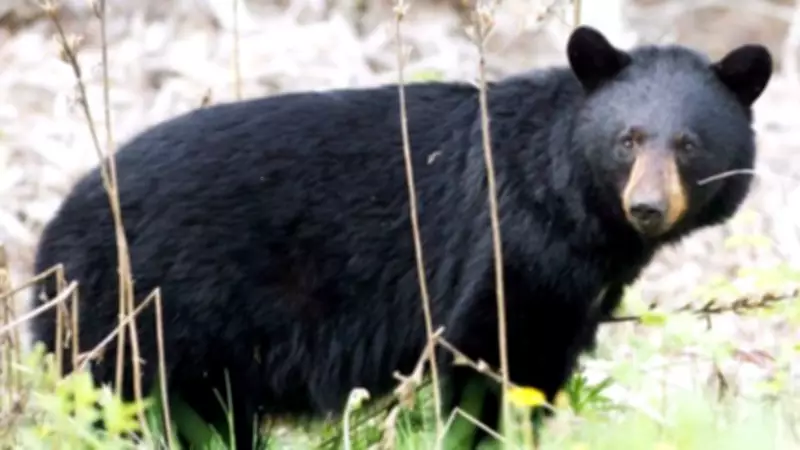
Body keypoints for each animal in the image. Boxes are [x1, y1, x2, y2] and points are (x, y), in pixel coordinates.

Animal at [28, 25, 772, 449]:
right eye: (628, 140)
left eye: (689, 144)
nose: (647, 207)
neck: (574, 210)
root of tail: (52, 233)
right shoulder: (507, 242)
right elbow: (492, 358)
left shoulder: (577, 283)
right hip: (138, 310)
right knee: (123, 402)